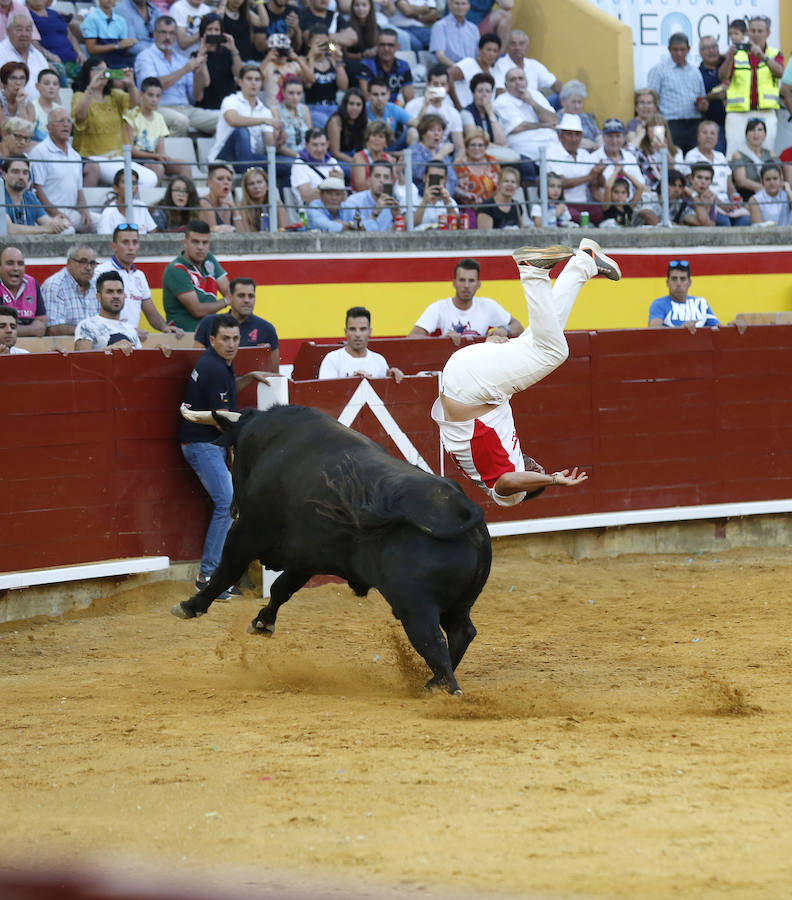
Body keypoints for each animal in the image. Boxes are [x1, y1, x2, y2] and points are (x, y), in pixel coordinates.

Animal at [172, 404, 492, 692]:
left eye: (233, 453)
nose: (233, 508)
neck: (273, 442)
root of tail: (462, 507)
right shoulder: (306, 557)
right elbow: (281, 589)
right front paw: (263, 623)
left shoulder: (247, 532)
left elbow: (225, 572)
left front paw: (189, 606)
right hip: (458, 604)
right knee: (462, 632)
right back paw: (432, 682)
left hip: (415, 606)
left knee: (433, 641)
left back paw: (443, 689)